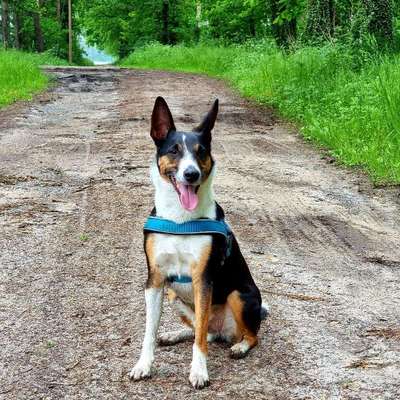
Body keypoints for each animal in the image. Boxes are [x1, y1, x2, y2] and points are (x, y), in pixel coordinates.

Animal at [130, 98, 268, 390]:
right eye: (174, 150)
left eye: (201, 151)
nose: (191, 174)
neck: (180, 220)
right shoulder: (155, 280)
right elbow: (149, 331)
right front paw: (143, 365)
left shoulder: (202, 280)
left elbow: (200, 339)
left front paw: (199, 371)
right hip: (175, 297)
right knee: (203, 331)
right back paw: (174, 334)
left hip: (239, 296)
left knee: (243, 335)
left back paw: (240, 346)